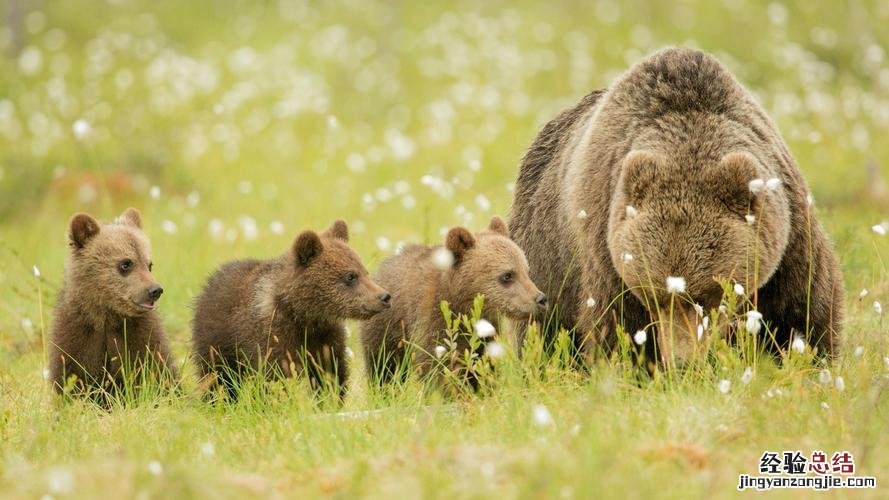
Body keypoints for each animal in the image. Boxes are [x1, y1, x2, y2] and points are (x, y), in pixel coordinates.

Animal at [49, 208, 180, 402]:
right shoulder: (77, 337)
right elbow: (71, 379)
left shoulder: (140, 338)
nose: (155, 290)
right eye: (126, 263)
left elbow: (157, 373)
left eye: (149, 264)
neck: (107, 317)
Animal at [191, 219, 388, 398]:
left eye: (365, 272)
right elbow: (275, 376)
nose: (384, 296)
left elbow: (330, 374)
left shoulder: (325, 338)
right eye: (350, 276)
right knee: (218, 377)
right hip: (218, 341)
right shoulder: (273, 337)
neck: (303, 315)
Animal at [362, 216, 548, 386]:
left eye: (526, 271)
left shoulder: (486, 332)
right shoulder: (432, 320)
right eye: (507, 275)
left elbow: (484, 365)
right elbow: (434, 366)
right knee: (383, 367)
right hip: (386, 330)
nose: (540, 299)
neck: (461, 304)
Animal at [510, 48, 844, 366]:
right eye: (653, 296)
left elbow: (802, 309)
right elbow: (615, 324)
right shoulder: (605, 245)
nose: (683, 361)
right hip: (545, 252)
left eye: (707, 296)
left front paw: (806, 357)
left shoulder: (789, 236)